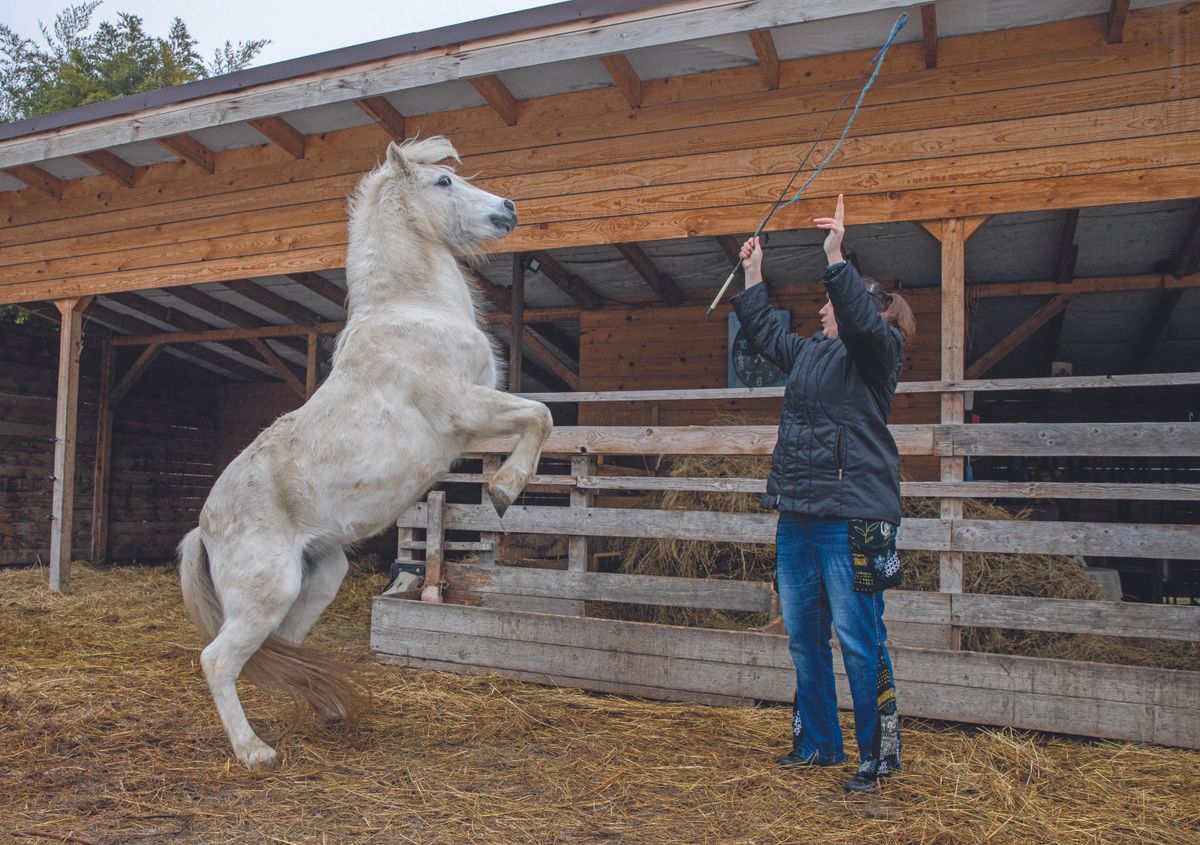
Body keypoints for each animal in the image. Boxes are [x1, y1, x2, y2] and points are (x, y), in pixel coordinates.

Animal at [177, 136, 552, 768]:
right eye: (443, 183)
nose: (509, 207)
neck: (414, 312)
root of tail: (203, 527)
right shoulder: (463, 410)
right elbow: (541, 414)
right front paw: (504, 492)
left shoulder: (475, 422)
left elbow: (537, 418)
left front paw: (502, 489)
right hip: (267, 592)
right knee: (219, 660)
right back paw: (255, 752)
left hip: (320, 579)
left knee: (278, 651)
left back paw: (323, 710)